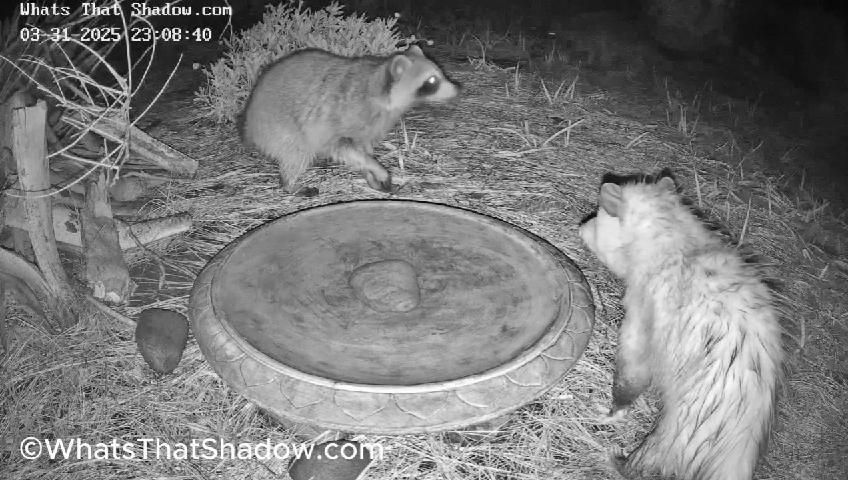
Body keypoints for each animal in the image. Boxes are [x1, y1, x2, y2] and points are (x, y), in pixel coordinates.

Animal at [239, 45, 460, 195]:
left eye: (439, 74)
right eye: (432, 81)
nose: (458, 88)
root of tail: (248, 123)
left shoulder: (370, 125)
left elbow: (363, 150)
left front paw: (370, 172)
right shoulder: (342, 117)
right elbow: (342, 148)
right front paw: (376, 168)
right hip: (279, 127)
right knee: (297, 153)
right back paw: (290, 185)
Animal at [578, 172, 783, 480]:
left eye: (600, 215)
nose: (581, 226)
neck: (676, 240)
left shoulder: (644, 306)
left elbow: (633, 367)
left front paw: (613, 411)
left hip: (678, 427)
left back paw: (618, 461)